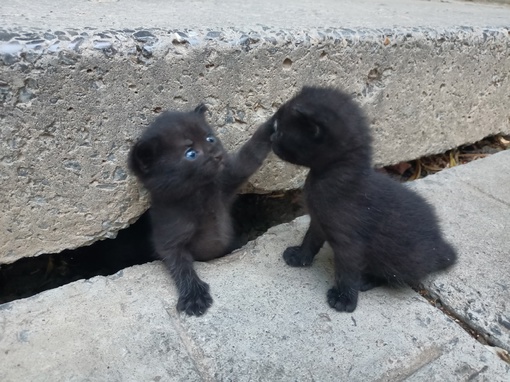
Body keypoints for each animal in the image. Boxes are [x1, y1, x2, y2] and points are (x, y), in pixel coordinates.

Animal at [130, 104, 274, 316]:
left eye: (210, 138)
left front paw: (276, 122)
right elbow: (180, 265)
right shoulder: (169, 237)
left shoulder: (226, 180)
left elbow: (250, 156)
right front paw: (194, 295)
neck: (200, 194)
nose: (217, 154)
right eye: (190, 153)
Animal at [272, 87, 456, 314]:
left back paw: (366, 279)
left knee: (392, 276)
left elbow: (347, 271)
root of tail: (439, 248)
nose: (271, 138)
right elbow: (310, 239)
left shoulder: (349, 241)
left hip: (396, 258)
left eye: (281, 131)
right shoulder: (319, 221)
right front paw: (300, 257)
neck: (327, 176)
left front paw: (345, 299)